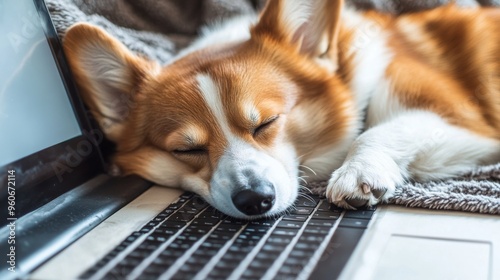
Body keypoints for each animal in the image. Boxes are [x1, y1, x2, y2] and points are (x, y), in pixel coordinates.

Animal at [62, 0, 500, 219]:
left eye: (267, 124)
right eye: (186, 150)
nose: (255, 201)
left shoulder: (463, 120)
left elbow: (379, 130)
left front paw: (359, 173)